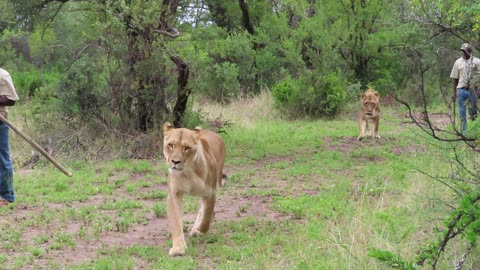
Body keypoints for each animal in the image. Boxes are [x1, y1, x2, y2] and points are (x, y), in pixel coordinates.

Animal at [162, 121, 226, 256]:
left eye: (187, 148)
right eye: (170, 145)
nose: (175, 162)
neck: (187, 172)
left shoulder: (210, 193)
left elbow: (206, 217)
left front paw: (199, 230)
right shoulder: (174, 194)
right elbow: (176, 222)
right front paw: (178, 248)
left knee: (206, 211)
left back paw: (196, 229)